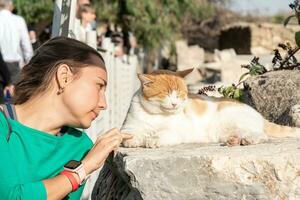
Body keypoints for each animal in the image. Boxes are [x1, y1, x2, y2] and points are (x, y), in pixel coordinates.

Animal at [120, 69, 298, 148]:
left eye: (181, 94)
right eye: (166, 93)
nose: (175, 104)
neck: (156, 115)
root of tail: (258, 114)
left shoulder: (178, 130)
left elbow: (163, 134)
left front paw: (152, 140)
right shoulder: (128, 127)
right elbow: (129, 135)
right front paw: (134, 140)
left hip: (234, 119)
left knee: (262, 135)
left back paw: (250, 140)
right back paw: (234, 140)